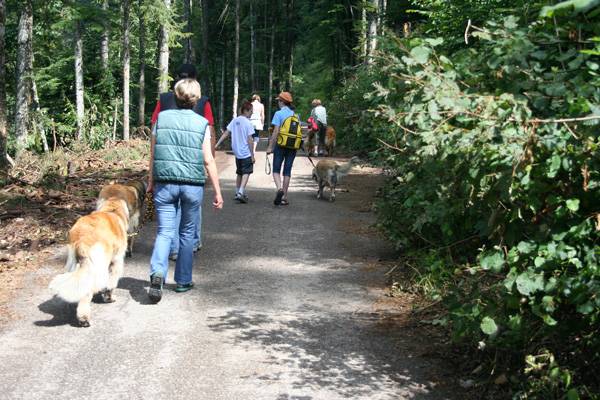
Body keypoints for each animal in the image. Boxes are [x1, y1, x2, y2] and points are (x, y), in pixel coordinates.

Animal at [49, 196, 129, 324]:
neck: (111, 210)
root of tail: (82, 238)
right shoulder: (116, 261)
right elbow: (111, 283)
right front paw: (109, 297)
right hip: (95, 267)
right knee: (87, 292)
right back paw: (84, 318)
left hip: (75, 264)